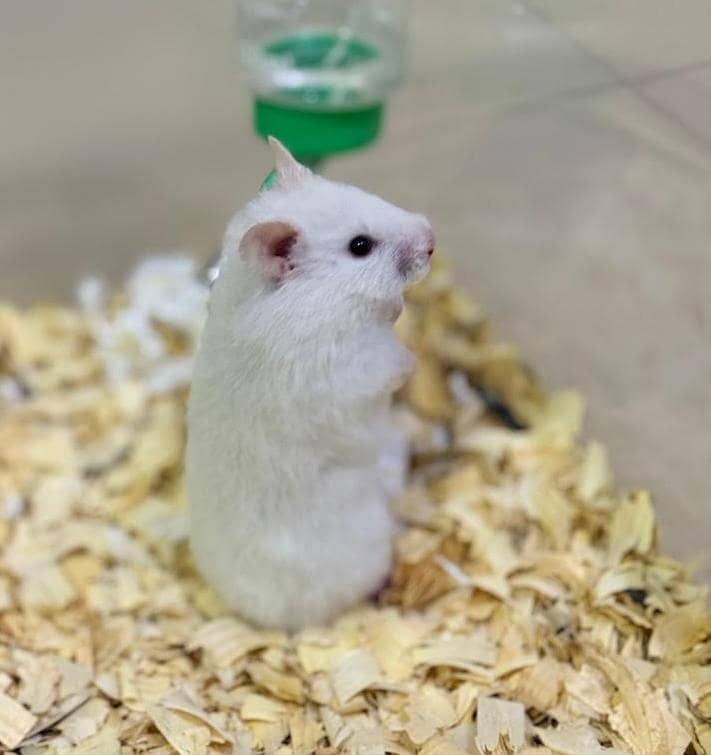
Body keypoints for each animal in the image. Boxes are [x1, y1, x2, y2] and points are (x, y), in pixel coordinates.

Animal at [186, 138, 434, 631]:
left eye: (362, 190)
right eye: (360, 246)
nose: (433, 238)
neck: (321, 298)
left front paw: (396, 310)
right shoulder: (352, 364)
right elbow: (391, 364)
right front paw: (411, 356)